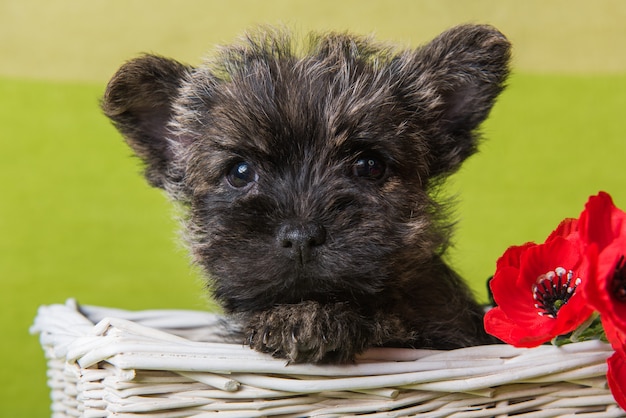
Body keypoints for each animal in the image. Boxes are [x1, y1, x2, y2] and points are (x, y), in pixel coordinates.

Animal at [102, 23, 510, 362]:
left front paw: (313, 321)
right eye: (239, 172)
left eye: (369, 165)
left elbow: (391, 324)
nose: (301, 237)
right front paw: (301, 320)